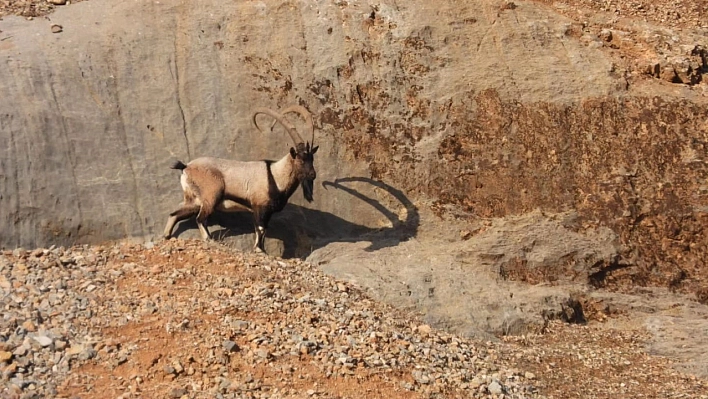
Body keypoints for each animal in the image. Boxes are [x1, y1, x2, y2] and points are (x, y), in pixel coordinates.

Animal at [163, 104, 318, 252]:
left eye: (312, 158)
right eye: (300, 159)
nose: (313, 175)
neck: (275, 176)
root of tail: (186, 167)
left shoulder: (267, 212)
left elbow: (264, 229)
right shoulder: (259, 207)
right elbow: (260, 229)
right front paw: (259, 250)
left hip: (194, 200)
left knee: (174, 214)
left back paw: (166, 236)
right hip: (211, 196)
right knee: (201, 218)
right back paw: (209, 239)